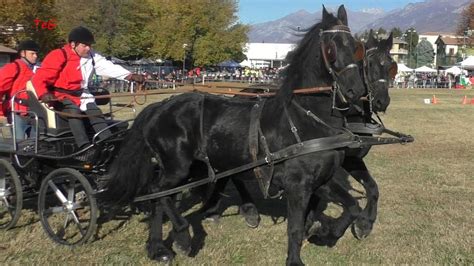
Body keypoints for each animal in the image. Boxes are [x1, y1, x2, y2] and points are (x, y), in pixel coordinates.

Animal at [102, 5, 364, 264]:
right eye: (331, 48)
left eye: (355, 46)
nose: (356, 90)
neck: (306, 118)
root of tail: (160, 106)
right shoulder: (297, 184)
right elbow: (296, 228)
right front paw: (296, 258)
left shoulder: (321, 180)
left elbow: (352, 208)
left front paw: (326, 234)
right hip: (177, 167)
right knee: (157, 191)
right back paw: (182, 236)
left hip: (190, 168)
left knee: (161, 198)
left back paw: (158, 248)